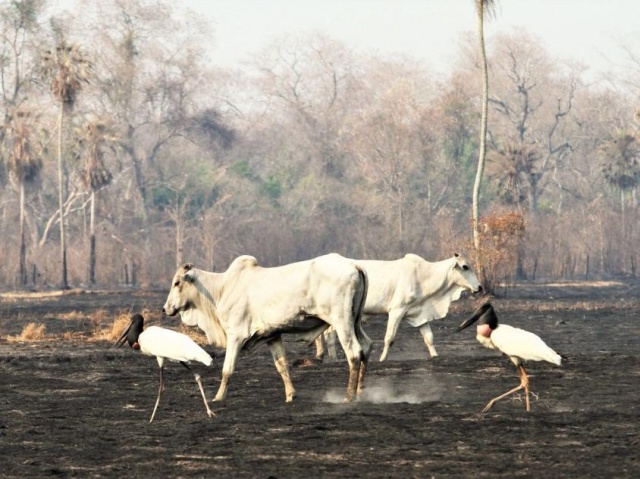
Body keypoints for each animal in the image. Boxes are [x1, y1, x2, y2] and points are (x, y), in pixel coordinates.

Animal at [162, 255, 372, 404]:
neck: (221, 289)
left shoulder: (236, 335)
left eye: (177, 283)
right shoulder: (272, 335)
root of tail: (355, 265)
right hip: (354, 321)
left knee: (354, 352)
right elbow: (282, 366)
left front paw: (219, 397)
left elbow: (227, 369)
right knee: (367, 346)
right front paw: (290, 395)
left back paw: (349, 396)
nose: (165, 308)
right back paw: (361, 392)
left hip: (342, 321)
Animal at [316, 253, 480, 362]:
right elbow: (389, 338)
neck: (424, 276)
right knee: (329, 334)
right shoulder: (397, 310)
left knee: (328, 334)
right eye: (465, 267)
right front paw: (382, 359)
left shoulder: (419, 314)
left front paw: (435, 356)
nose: (479, 287)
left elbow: (429, 338)